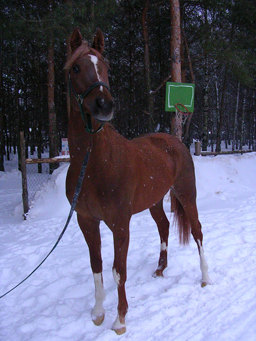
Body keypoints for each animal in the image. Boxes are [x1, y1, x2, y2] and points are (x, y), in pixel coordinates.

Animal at [64, 27, 210, 334]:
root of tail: (174, 141)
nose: (104, 104)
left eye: (105, 67)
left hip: (186, 194)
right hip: (155, 201)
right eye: (76, 68)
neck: (94, 164)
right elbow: (96, 265)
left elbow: (119, 270)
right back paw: (160, 269)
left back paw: (206, 277)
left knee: (197, 231)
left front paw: (120, 320)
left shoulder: (120, 223)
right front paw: (98, 313)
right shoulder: (86, 221)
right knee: (164, 227)